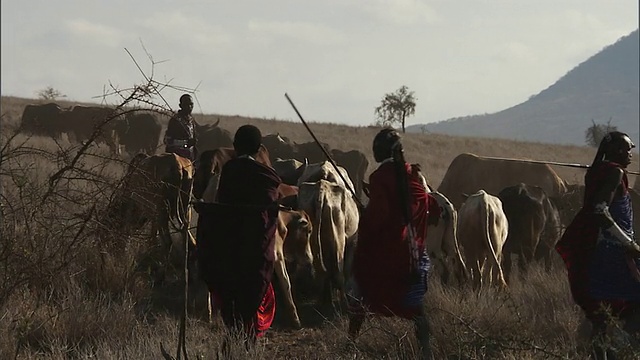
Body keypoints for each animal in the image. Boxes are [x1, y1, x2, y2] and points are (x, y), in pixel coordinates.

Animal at [296, 180, 358, 310]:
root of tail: (321, 191)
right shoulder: (352, 242)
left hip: (311, 229)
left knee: (321, 269)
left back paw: (324, 302)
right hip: (337, 231)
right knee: (338, 270)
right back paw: (344, 305)